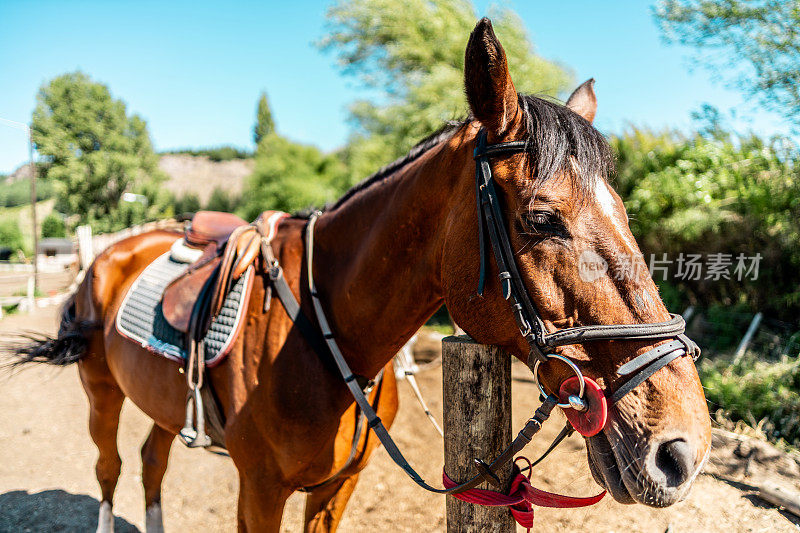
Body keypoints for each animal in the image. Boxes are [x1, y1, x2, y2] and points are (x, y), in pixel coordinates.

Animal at [9, 17, 708, 532]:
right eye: (542, 219)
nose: (685, 450)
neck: (328, 335)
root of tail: (111, 253)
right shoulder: (258, 492)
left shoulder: (335, 490)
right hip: (102, 393)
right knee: (110, 470)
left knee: (152, 463)